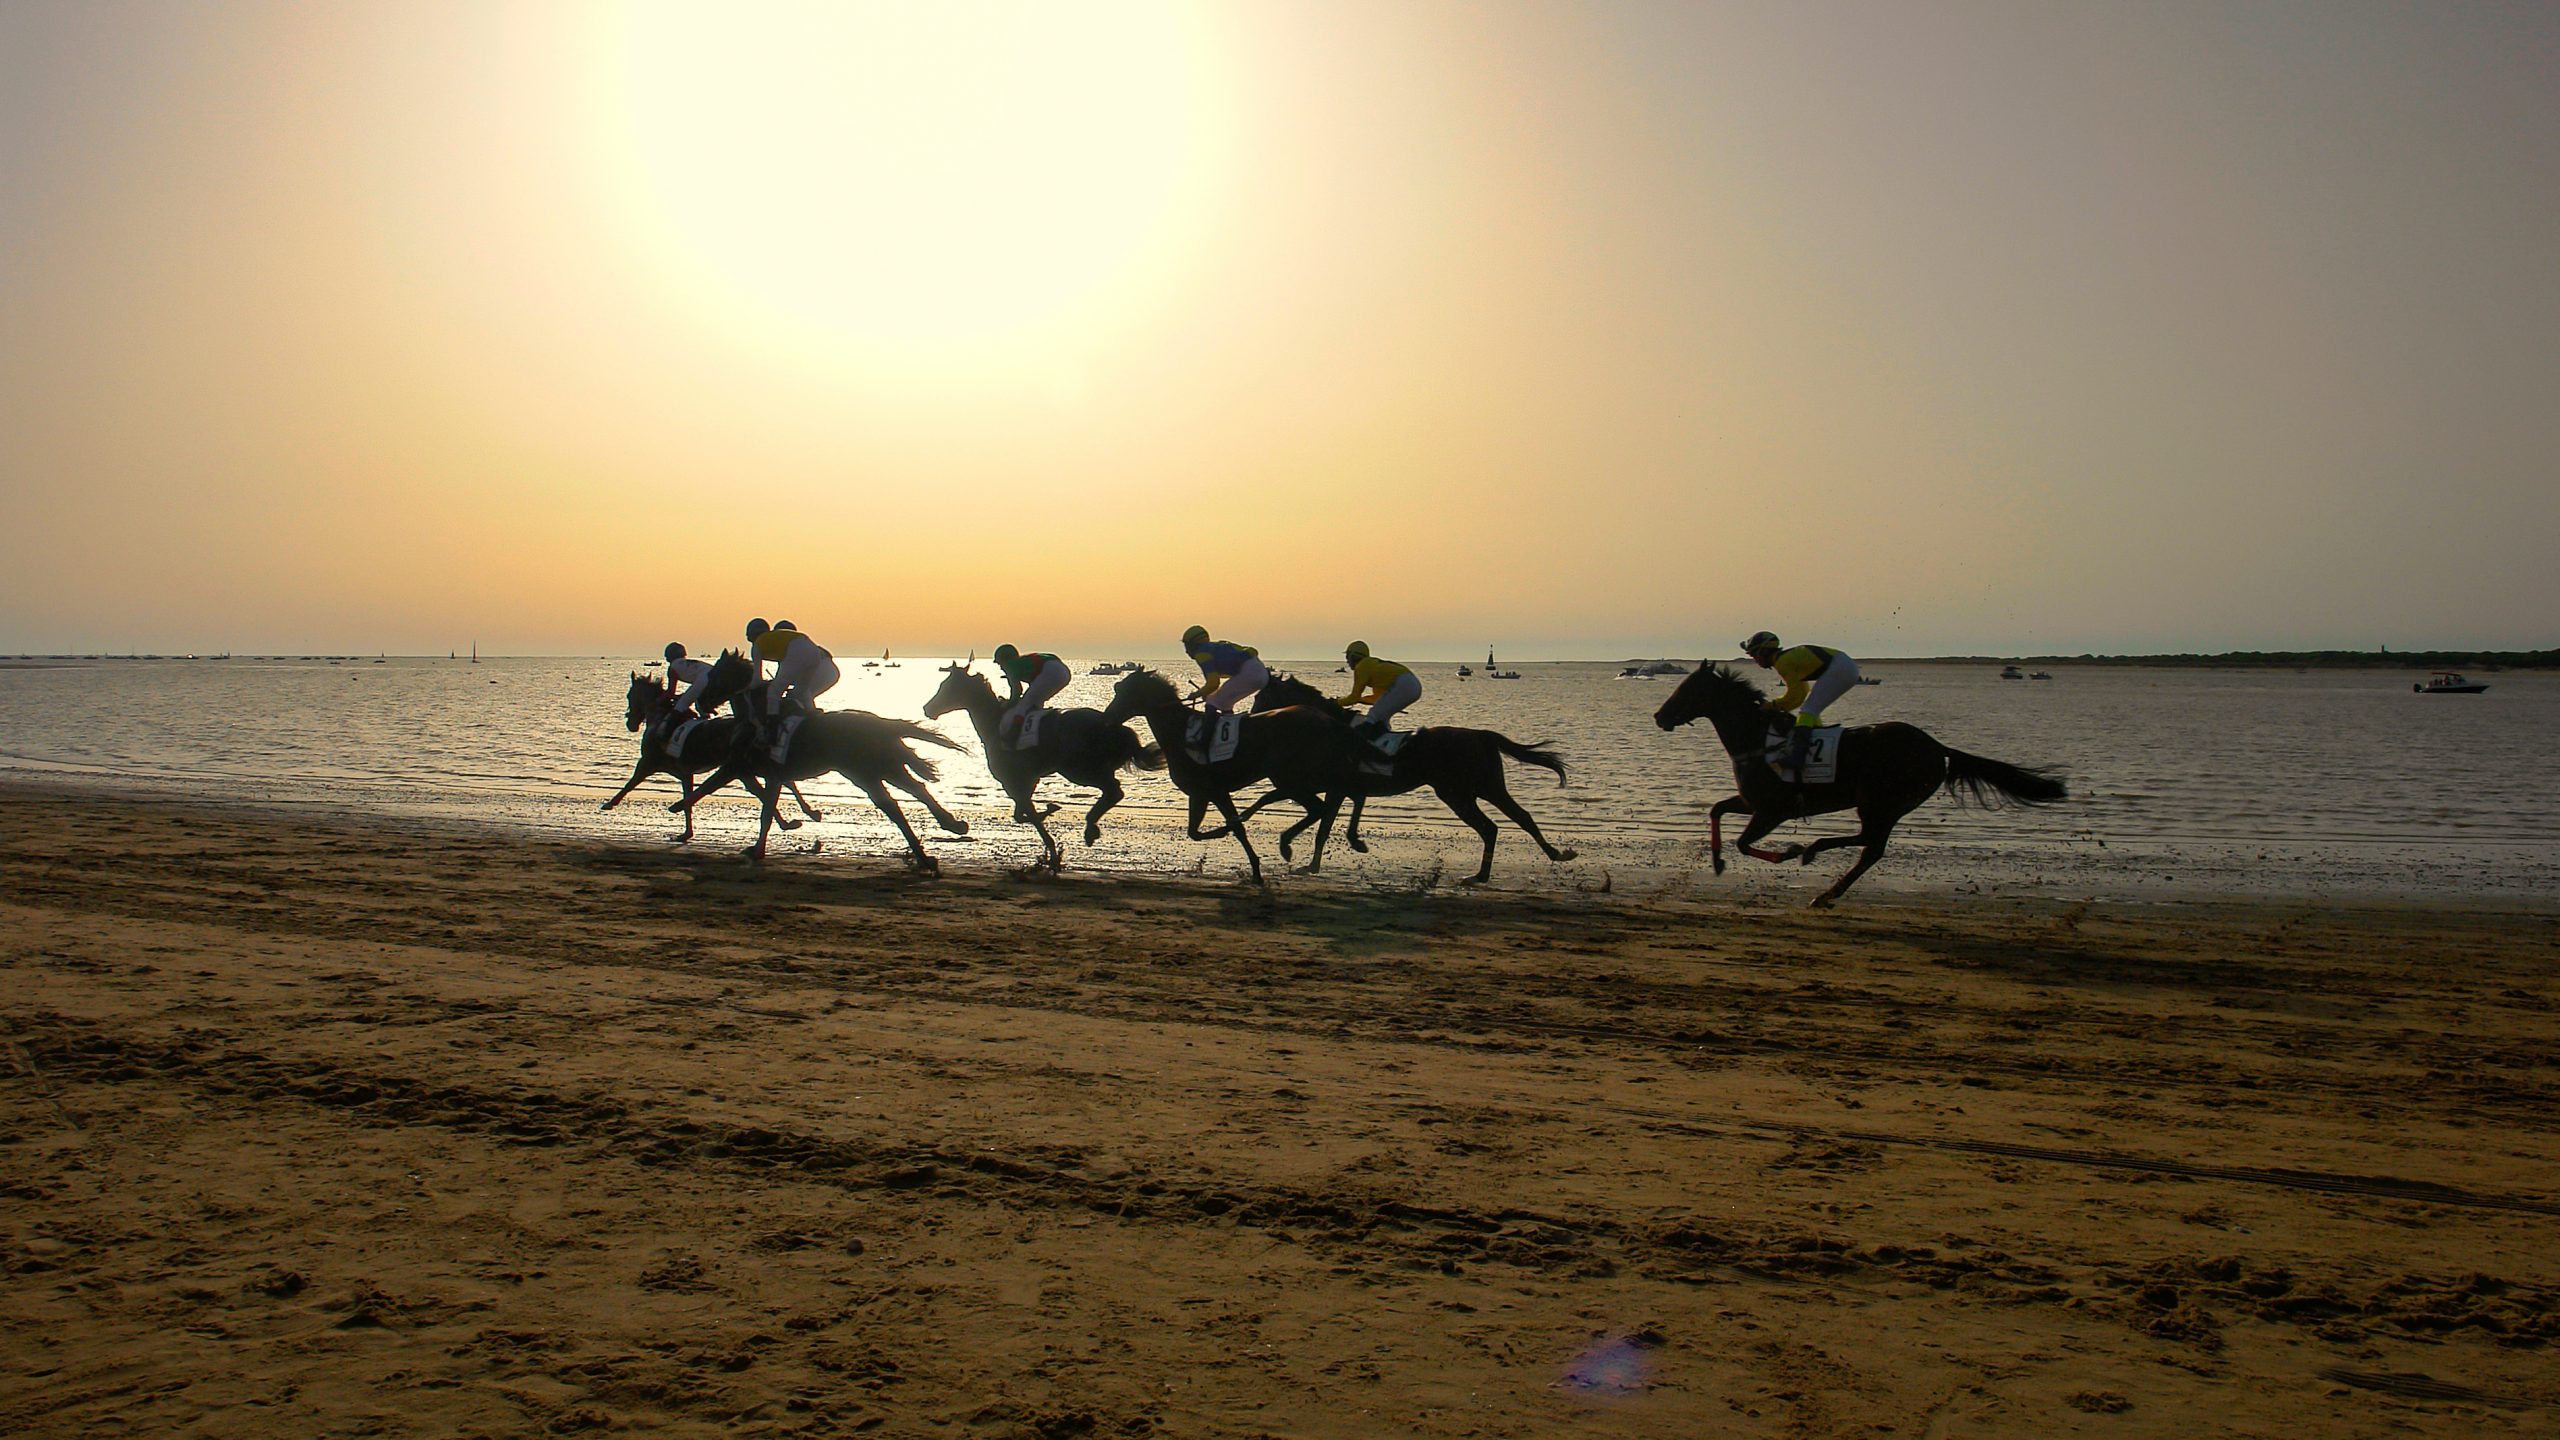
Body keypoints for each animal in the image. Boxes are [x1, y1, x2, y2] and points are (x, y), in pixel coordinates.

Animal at [680, 653, 967, 876]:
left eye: (715, 674)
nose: (701, 702)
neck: (756, 719)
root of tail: (880, 724)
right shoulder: (769, 774)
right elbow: (765, 805)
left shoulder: (743, 768)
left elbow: (721, 792)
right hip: (882, 767)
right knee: (912, 792)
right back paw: (942, 838)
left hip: (867, 771)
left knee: (898, 803)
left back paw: (930, 849)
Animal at [1100, 666, 1361, 881]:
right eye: (1118, 689)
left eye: (1124, 691)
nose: (1107, 717)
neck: (1180, 732)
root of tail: (1328, 720)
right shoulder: (1201, 793)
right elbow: (1197, 832)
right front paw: (1251, 864)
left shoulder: (1213, 791)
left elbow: (1231, 828)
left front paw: (1252, 865)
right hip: (1303, 778)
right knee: (1321, 806)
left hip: (1291, 777)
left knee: (1319, 807)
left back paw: (1287, 844)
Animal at [1228, 666, 1566, 881]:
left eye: (1261, 697)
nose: (1251, 717)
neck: (1331, 728)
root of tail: (1481, 735)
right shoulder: (1343, 786)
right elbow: (1336, 817)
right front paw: (1342, 848)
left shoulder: (1335, 786)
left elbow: (1324, 824)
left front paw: (1309, 863)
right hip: (1477, 789)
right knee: (1508, 821)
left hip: (1464, 791)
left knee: (1500, 824)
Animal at [1658, 661, 2058, 901]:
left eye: (1686, 689)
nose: (1659, 716)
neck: (1757, 740)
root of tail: (1936, 747)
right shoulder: (1752, 801)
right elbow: (1716, 810)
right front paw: (1717, 862)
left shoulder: (1774, 810)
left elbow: (1744, 843)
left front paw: (1788, 851)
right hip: (1887, 805)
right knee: (1871, 847)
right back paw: (1826, 885)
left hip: (1880, 800)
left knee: (1869, 844)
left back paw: (1815, 859)